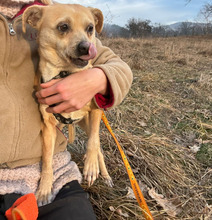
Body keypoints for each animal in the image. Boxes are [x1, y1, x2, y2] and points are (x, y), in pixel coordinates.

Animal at [22, 3, 112, 205]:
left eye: (90, 28)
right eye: (63, 27)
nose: (87, 47)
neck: (65, 74)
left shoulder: (96, 110)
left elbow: (93, 143)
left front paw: (91, 166)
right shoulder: (48, 127)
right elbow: (47, 160)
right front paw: (44, 189)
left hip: (88, 124)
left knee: (99, 147)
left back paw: (104, 173)